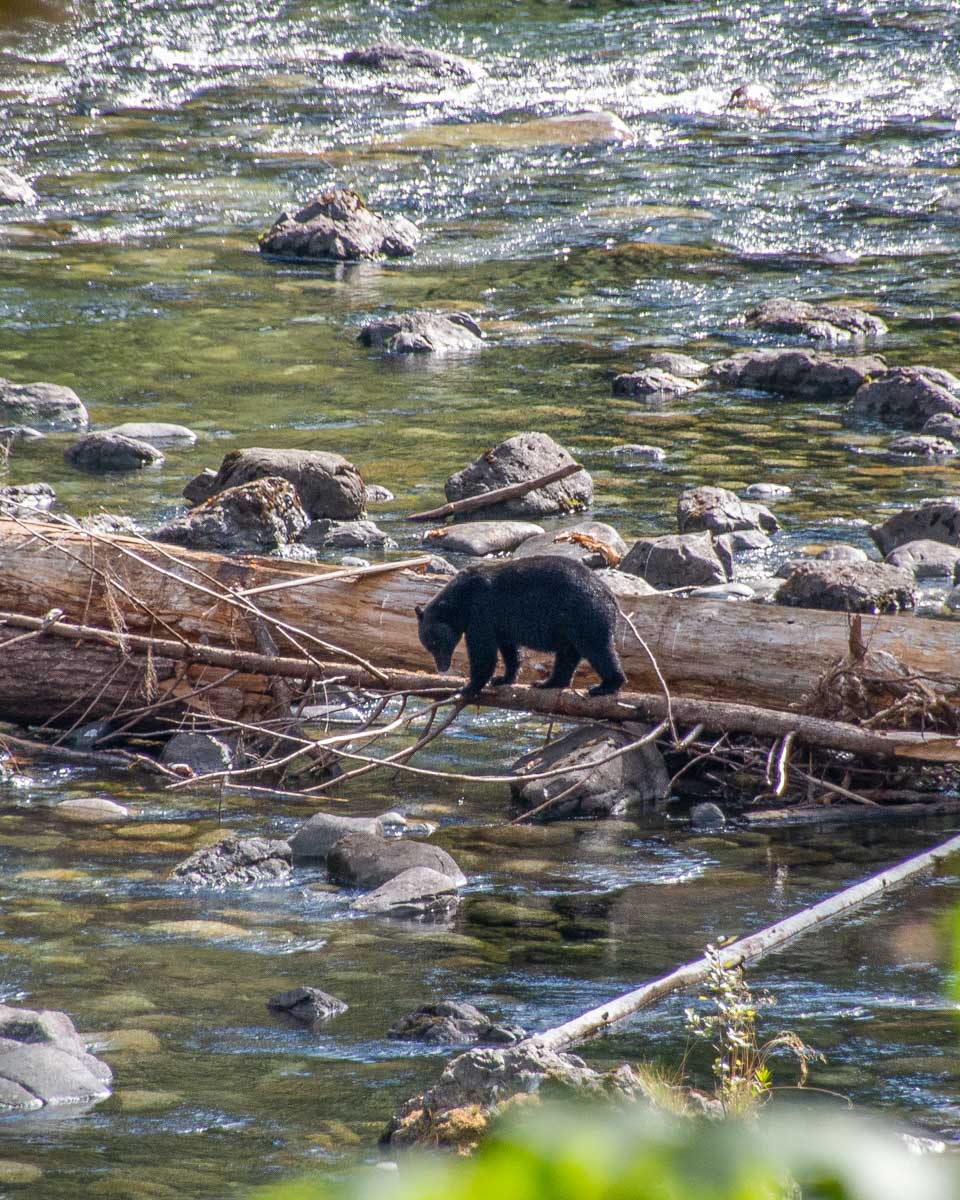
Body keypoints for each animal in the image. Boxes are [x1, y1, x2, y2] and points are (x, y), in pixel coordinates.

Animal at [415, 555, 626, 698]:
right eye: (428, 645)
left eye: (437, 643)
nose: (442, 667)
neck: (462, 601)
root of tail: (611, 597)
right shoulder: (500, 622)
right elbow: (510, 649)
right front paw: (504, 678)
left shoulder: (481, 613)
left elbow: (483, 653)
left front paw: (467, 687)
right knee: (567, 655)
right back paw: (549, 682)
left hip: (584, 615)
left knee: (598, 650)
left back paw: (606, 685)